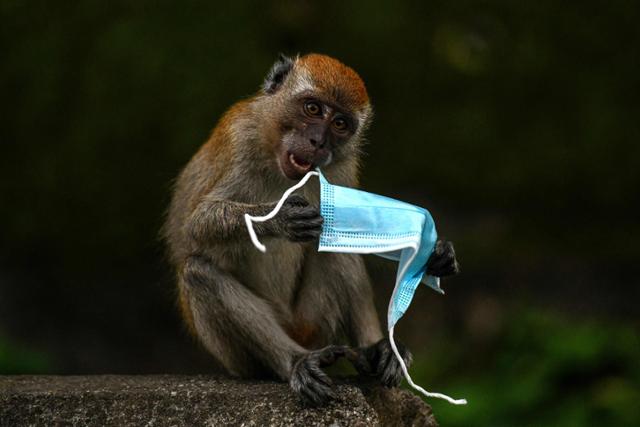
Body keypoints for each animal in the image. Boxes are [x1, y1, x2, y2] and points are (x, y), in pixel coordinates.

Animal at [162, 51, 458, 406]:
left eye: (340, 124)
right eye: (313, 109)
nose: (317, 141)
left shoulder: (342, 166)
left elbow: (358, 226)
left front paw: (435, 254)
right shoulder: (240, 140)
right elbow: (196, 224)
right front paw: (277, 218)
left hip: (313, 324)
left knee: (337, 248)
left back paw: (374, 349)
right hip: (239, 356)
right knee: (198, 272)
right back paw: (296, 361)